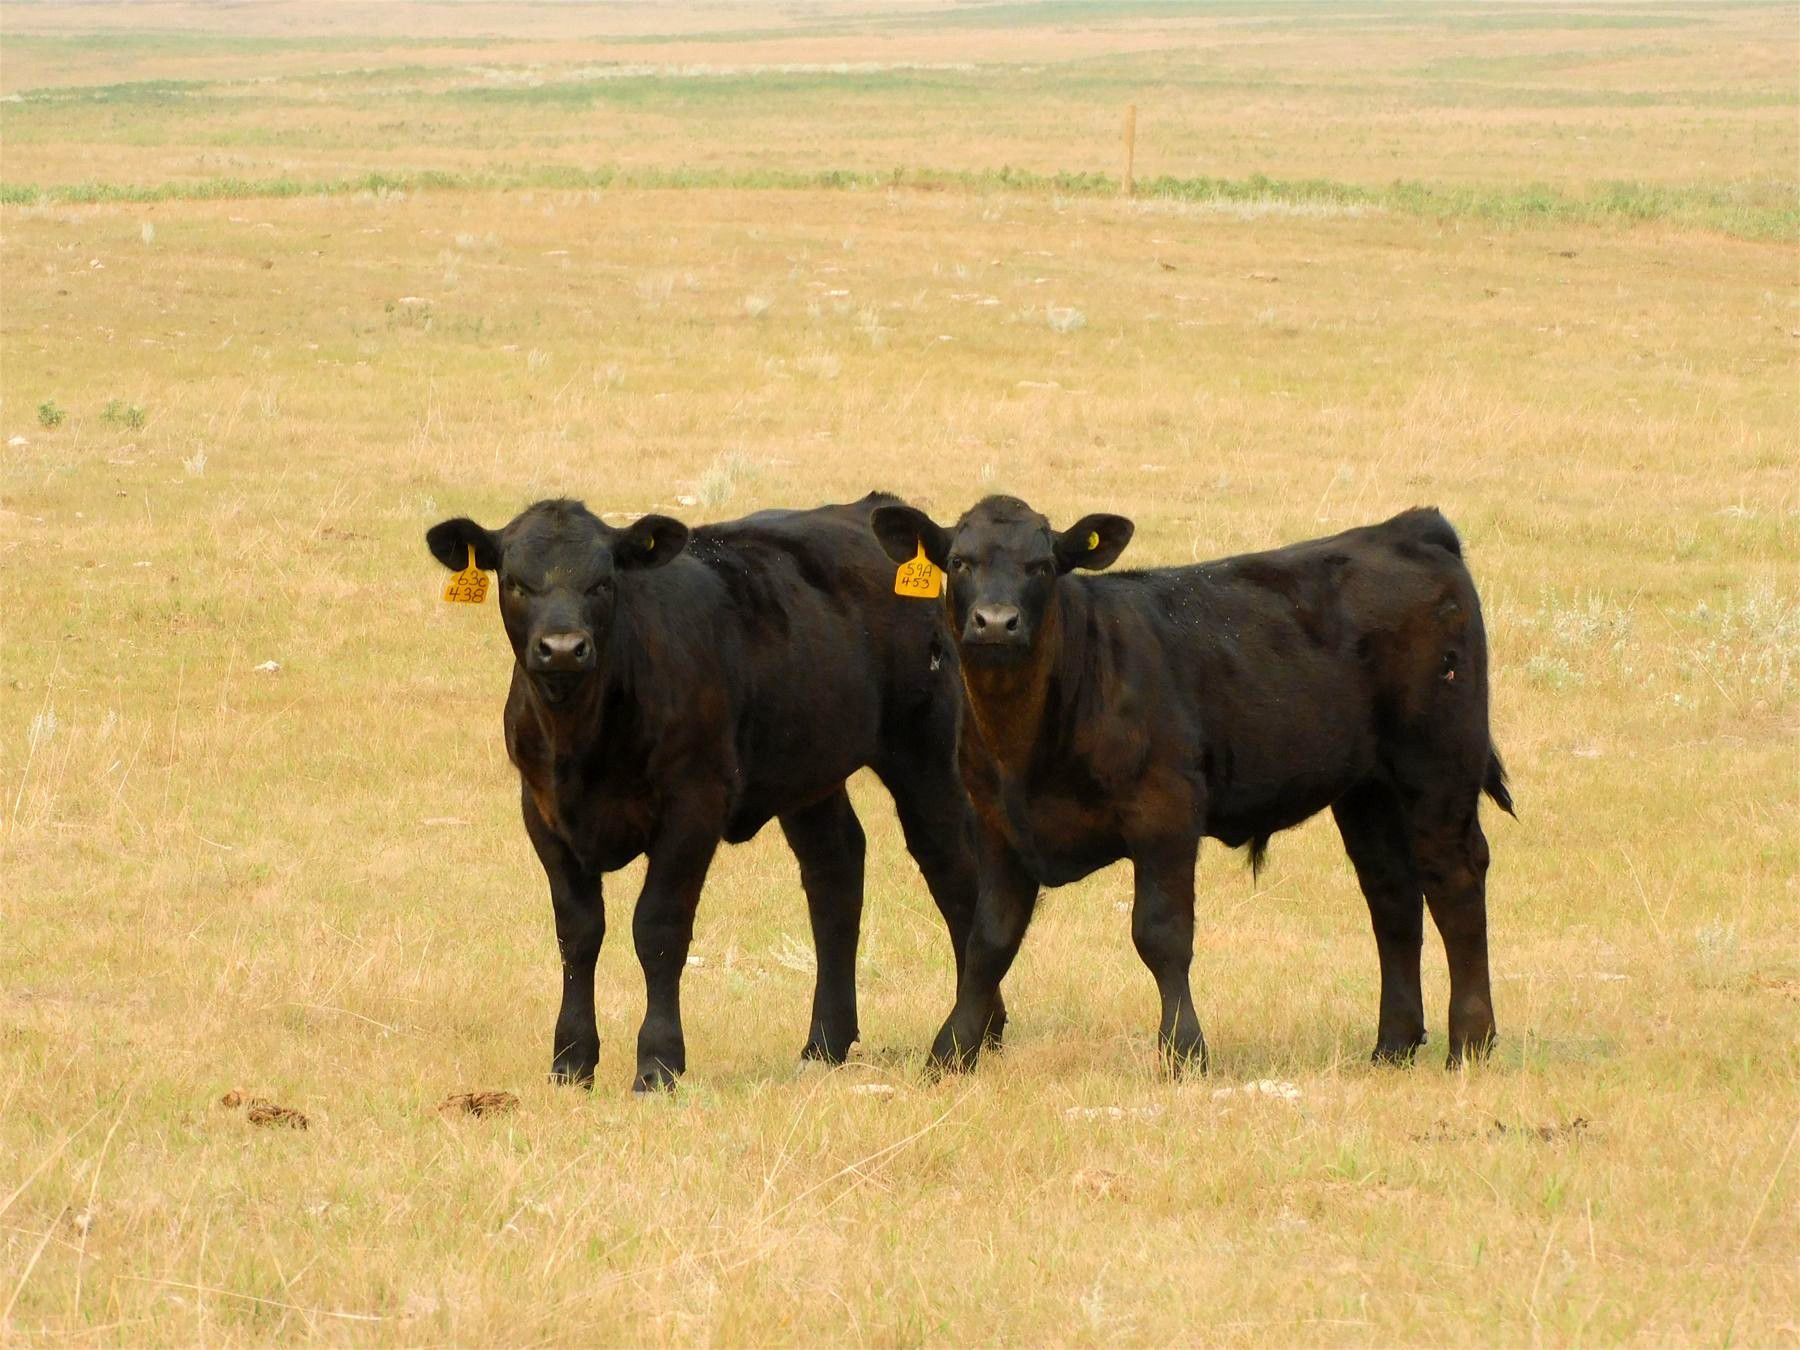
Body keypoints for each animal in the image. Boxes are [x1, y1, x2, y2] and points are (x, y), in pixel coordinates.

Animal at [427, 494, 995, 1092]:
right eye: (515, 582)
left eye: (604, 582)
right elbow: (578, 931)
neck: (579, 737)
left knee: (953, 870)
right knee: (835, 873)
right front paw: (572, 1059)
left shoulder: (692, 804)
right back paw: (825, 1042)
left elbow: (657, 928)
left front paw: (658, 1063)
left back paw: (978, 1036)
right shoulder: (542, 812)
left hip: (928, 752)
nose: (562, 649)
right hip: (808, 767)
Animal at [869, 494, 1512, 1076]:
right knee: (1392, 894)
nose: (997, 622)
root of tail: (1410, 528)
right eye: (959, 562)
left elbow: (1161, 934)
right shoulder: (996, 825)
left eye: (1043, 565)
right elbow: (988, 942)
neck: (1025, 743)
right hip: (1367, 790)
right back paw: (1393, 1047)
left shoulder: (1165, 813)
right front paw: (950, 1053)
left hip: (1440, 764)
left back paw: (1470, 1044)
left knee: (1453, 879)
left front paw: (1183, 1052)